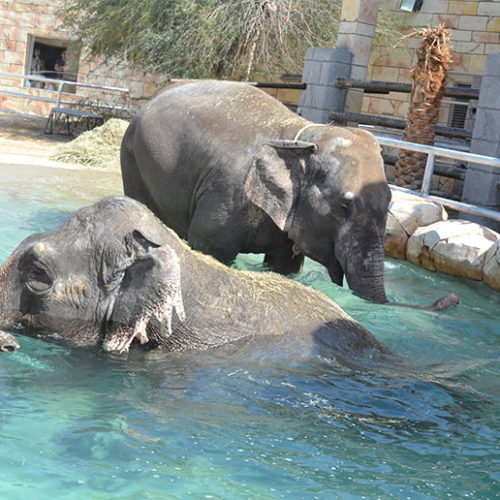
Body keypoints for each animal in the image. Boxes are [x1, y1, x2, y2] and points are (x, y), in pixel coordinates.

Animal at [120, 80, 390, 302]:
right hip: (132, 161)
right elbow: (210, 250)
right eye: (344, 207)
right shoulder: (227, 195)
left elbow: (285, 265)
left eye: (390, 205)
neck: (301, 136)